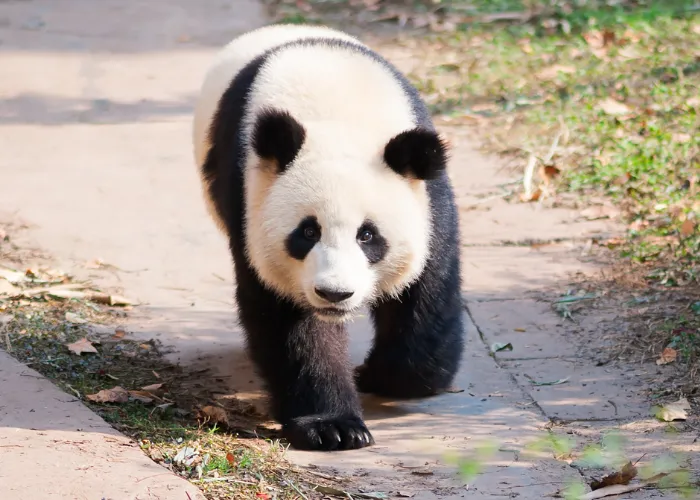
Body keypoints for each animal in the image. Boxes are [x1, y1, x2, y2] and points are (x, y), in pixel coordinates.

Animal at [191, 24, 464, 454]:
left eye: (368, 235)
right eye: (307, 232)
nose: (335, 294)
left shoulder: (427, 198)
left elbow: (427, 290)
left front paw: (383, 375)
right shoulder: (250, 199)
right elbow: (290, 323)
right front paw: (333, 426)